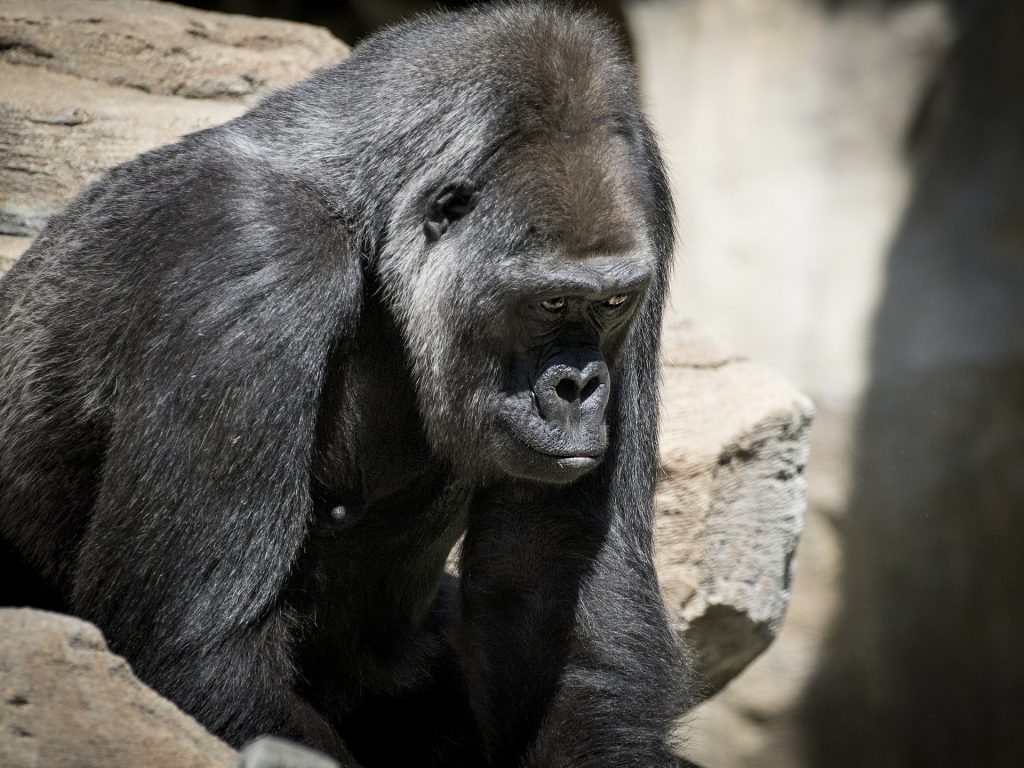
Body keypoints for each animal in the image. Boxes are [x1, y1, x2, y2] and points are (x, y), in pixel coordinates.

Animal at [0, 3, 696, 765]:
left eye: (612, 303)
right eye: (550, 303)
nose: (581, 387)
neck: (368, 212)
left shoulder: (648, 198)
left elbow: (552, 580)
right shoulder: (253, 248)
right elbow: (196, 647)